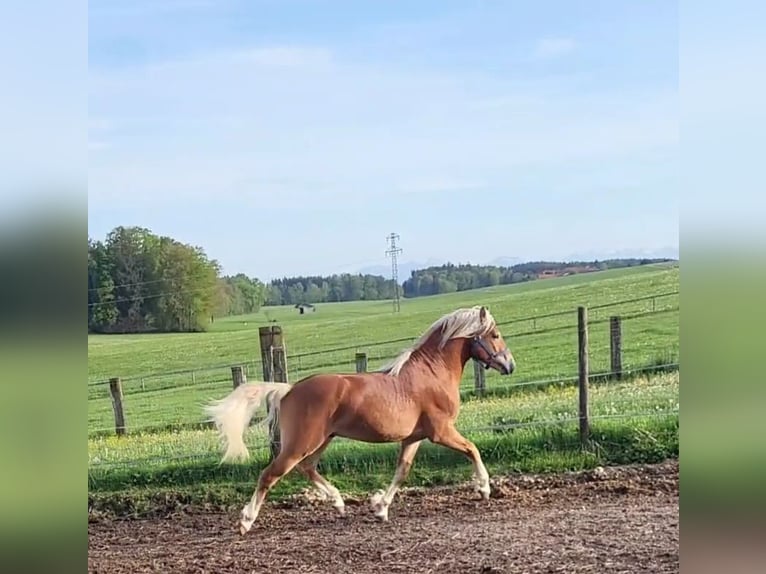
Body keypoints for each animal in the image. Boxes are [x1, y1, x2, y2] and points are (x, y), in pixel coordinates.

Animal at [204, 306, 516, 536]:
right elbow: (472, 449)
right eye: (496, 334)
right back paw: (246, 521)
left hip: (320, 440)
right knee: (270, 474)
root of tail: (288, 389)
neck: (431, 373)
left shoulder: (413, 438)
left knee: (307, 467)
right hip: (301, 443)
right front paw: (484, 488)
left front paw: (380, 508)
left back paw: (339, 502)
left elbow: (402, 471)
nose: (510, 365)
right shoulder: (441, 431)